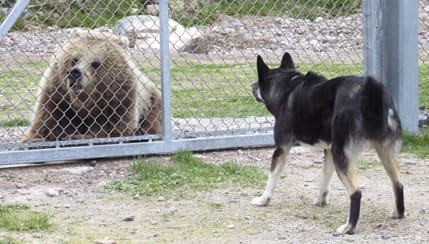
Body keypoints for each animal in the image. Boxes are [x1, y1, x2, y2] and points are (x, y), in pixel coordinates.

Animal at [20, 29, 160, 143]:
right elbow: (47, 123)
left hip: (151, 100)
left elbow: (113, 128)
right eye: (75, 59)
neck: (85, 101)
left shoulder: (119, 99)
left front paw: (76, 136)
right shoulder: (57, 95)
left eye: (95, 64)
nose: (75, 73)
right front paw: (36, 139)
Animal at [249, 53, 402, 234]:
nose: (251, 86)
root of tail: (370, 93)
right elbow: (325, 176)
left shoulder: (282, 148)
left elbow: (272, 177)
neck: (286, 87)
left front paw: (263, 200)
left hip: (341, 153)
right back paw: (398, 213)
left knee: (356, 193)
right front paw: (320, 200)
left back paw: (348, 227)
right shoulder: (328, 150)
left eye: (258, 82)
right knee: (398, 183)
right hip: (383, 151)